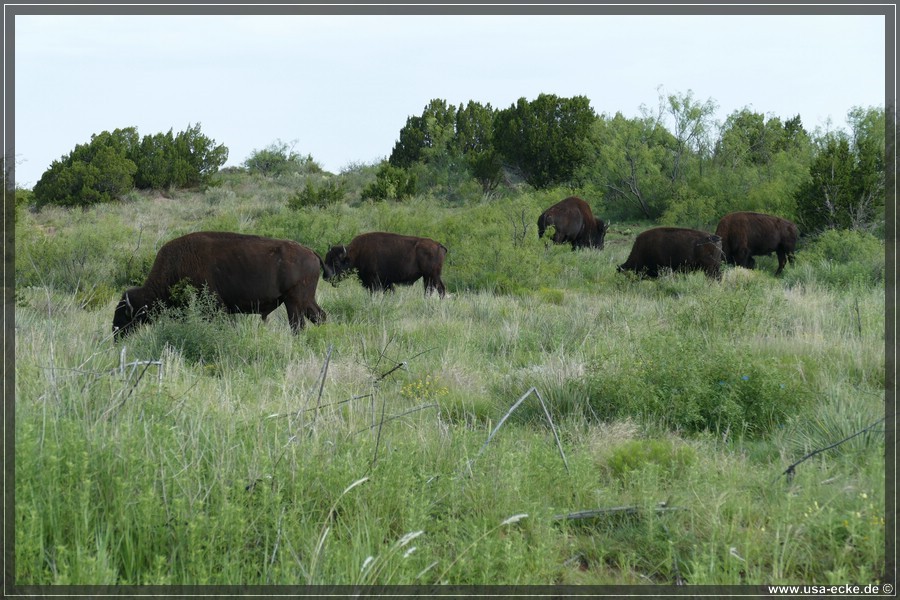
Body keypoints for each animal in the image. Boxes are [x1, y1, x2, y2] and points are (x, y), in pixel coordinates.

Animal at [112, 232, 328, 340]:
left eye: (124, 315)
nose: (115, 335)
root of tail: (311, 253)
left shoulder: (215, 308)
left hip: (294, 302)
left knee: (298, 325)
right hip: (304, 301)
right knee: (319, 316)